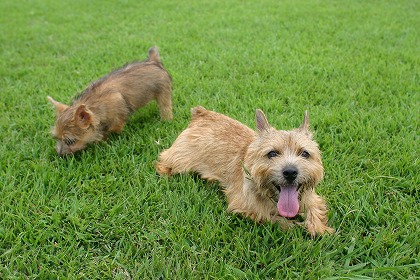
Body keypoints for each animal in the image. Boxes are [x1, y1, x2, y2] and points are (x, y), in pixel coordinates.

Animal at [156, 106, 334, 236]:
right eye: (272, 153)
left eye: (304, 153)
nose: (290, 172)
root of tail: (202, 114)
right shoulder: (246, 206)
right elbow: (272, 217)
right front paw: (295, 226)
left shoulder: (311, 196)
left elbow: (314, 207)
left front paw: (320, 229)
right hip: (180, 161)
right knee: (163, 159)